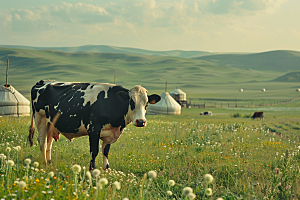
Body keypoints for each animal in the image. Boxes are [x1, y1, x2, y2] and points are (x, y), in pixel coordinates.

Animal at [28, 80, 162, 170]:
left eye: (146, 104)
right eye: (132, 102)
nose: (141, 121)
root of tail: (43, 82)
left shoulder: (110, 132)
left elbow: (105, 151)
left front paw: (107, 169)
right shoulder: (93, 129)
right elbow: (95, 151)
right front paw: (92, 170)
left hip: (51, 124)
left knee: (49, 142)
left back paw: (49, 162)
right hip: (41, 119)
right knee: (42, 141)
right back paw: (45, 163)